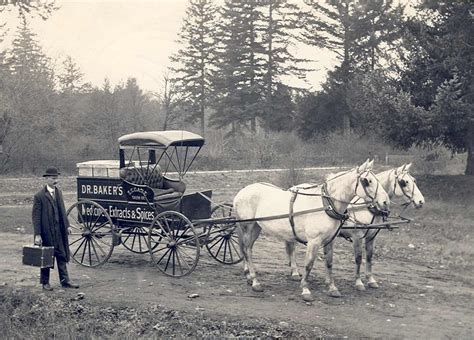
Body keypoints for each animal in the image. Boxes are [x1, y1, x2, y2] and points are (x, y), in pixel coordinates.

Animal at [232, 158, 388, 302]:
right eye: (367, 181)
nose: (385, 202)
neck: (326, 205)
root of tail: (242, 191)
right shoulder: (314, 241)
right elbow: (309, 264)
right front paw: (305, 290)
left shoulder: (330, 240)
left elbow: (329, 263)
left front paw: (332, 288)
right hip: (248, 227)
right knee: (247, 251)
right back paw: (255, 281)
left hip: (256, 227)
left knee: (248, 249)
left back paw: (251, 277)